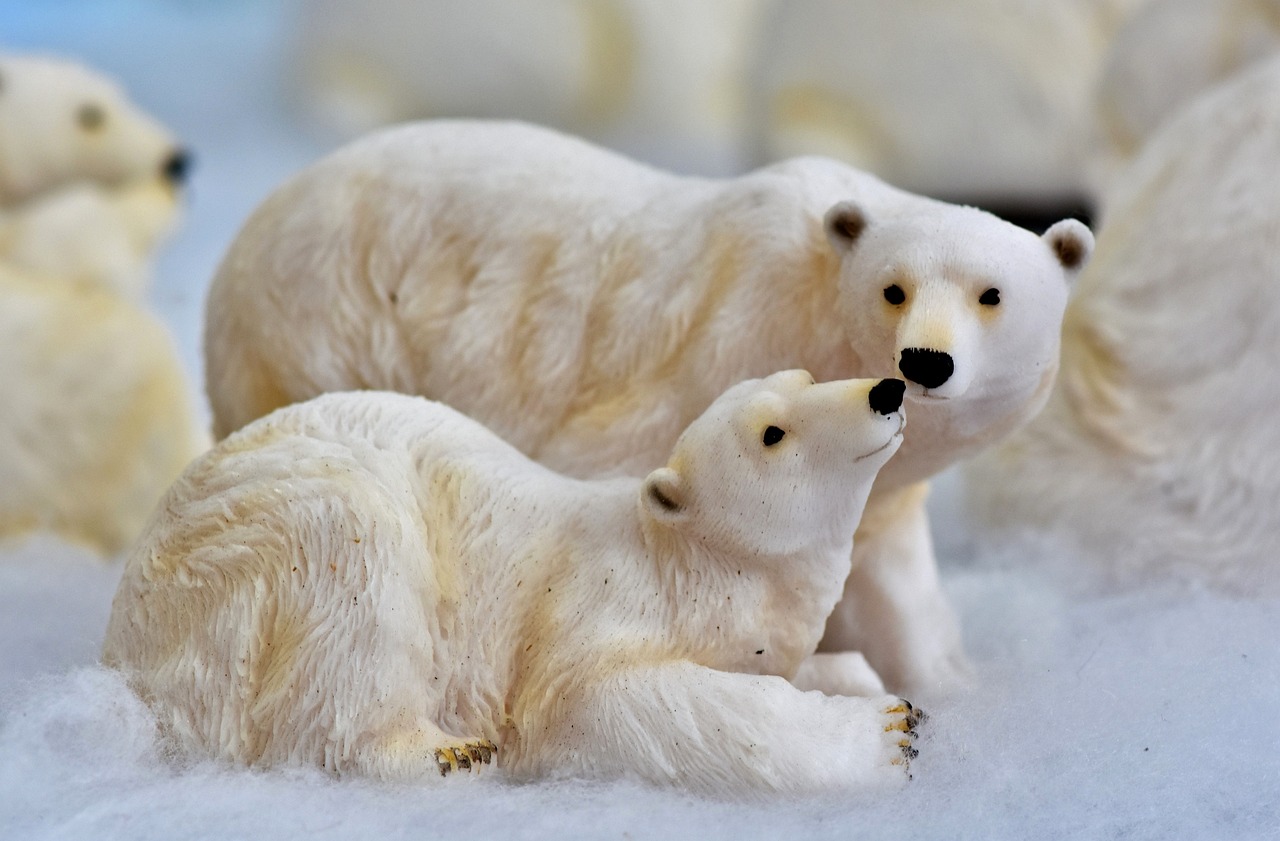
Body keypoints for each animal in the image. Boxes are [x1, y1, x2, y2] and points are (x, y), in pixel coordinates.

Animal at [102, 371, 921, 793]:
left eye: (807, 375)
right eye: (771, 433)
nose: (886, 387)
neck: (690, 562)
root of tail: (124, 645)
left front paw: (860, 678)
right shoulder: (604, 599)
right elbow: (594, 702)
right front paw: (890, 732)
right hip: (269, 535)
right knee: (358, 583)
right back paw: (447, 753)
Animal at [207, 117, 1090, 696]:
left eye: (991, 294)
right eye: (893, 288)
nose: (923, 361)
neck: (813, 297)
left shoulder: (890, 484)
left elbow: (893, 570)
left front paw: (946, 676)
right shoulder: (717, 346)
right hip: (320, 325)